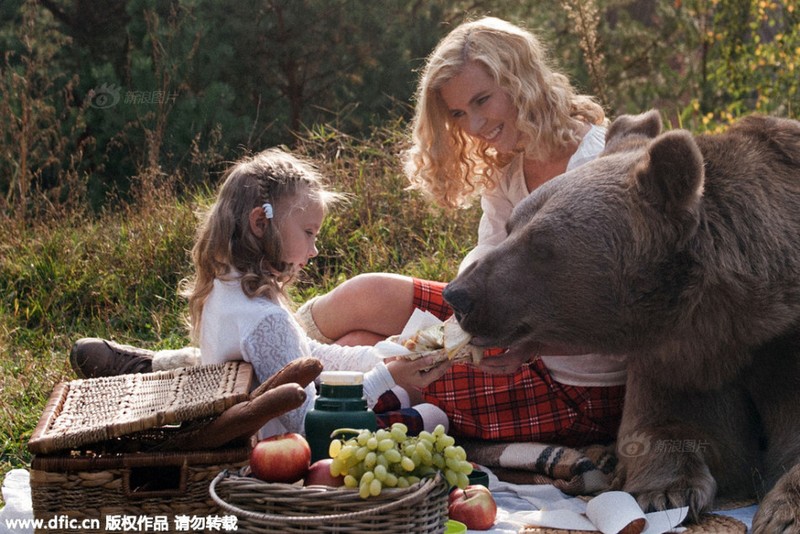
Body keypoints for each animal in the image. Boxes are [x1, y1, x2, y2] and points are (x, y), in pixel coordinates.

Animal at [444, 111, 800, 532]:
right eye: (512, 226)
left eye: (541, 245)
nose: (459, 294)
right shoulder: (679, 359)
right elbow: (663, 424)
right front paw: (666, 491)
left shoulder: (776, 347)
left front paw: (782, 513)